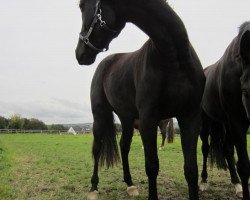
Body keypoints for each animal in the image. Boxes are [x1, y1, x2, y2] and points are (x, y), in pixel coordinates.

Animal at [75, 0, 205, 199]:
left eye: (82, 5)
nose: (79, 53)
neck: (173, 58)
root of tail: (106, 63)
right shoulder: (148, 120)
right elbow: (152, 166)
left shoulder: (190, 117)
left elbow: (191, 170)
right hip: (100, 115)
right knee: (97, 148)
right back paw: (94, 188)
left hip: (126, 119)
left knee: (124, 146)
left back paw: (130, 184)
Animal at [200, 21, 250, 200]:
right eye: (245, 92)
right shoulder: (237, 119)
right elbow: (244, 165)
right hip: (206, 122)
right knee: (205, 148)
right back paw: (203, 181)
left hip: (225, 123)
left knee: (227, 149)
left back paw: (236, 183)